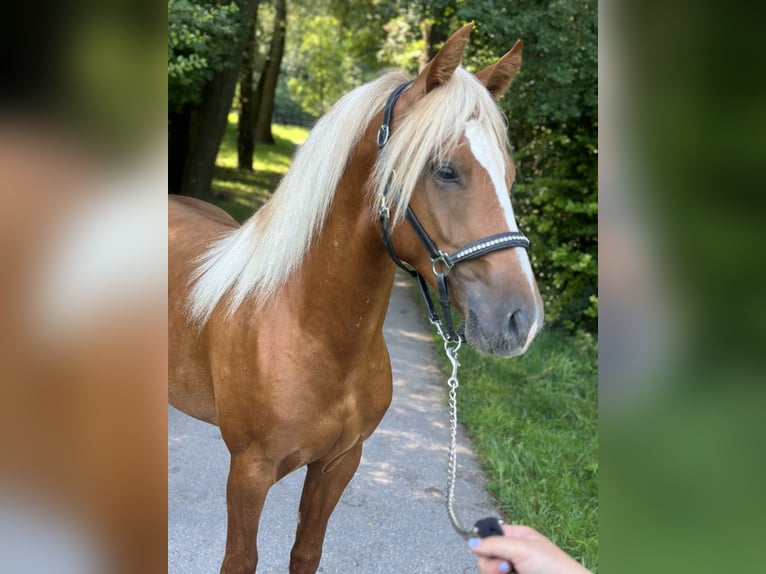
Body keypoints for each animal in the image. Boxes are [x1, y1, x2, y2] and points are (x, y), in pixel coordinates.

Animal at [169, 23, 544, 574]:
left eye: (510, 174)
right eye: (444, 170)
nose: (521, 319)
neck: (313, 332)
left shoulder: (340, 463)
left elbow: (306, 552)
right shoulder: (249, 474)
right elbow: (241, 559)